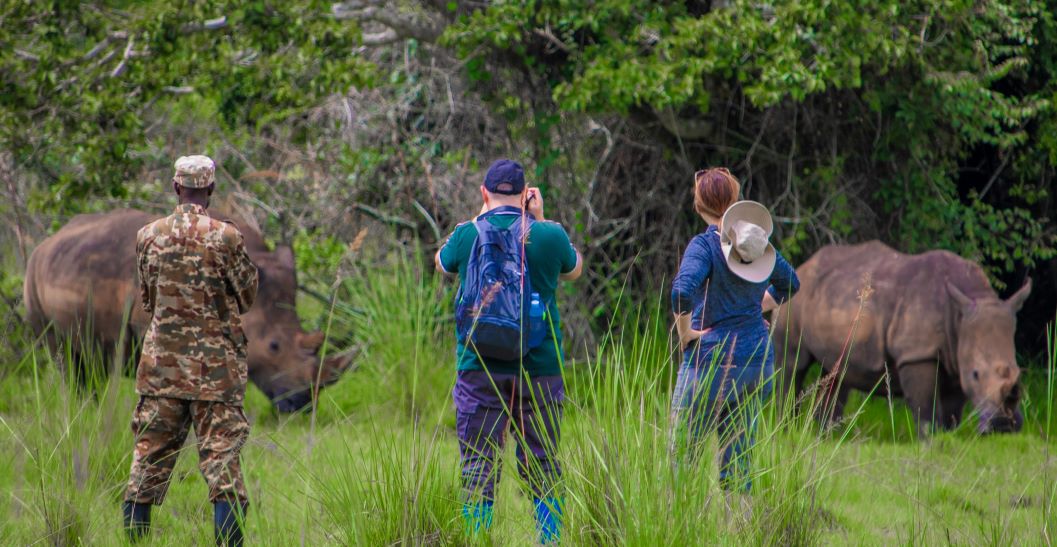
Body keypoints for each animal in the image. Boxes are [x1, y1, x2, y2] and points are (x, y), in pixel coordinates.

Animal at [773, 242, 1027, 435]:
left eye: (1018, 372)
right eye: (976, 374)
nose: (1004, 427)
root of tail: (805, 264)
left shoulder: (957, 357)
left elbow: (953, 409)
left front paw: (948, 436)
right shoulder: (917, 354)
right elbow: (925, 405)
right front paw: (929, 440)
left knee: (837, 370)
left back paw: (826, 435)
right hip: (794, 297)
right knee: (793, 363)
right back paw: (786, 430)